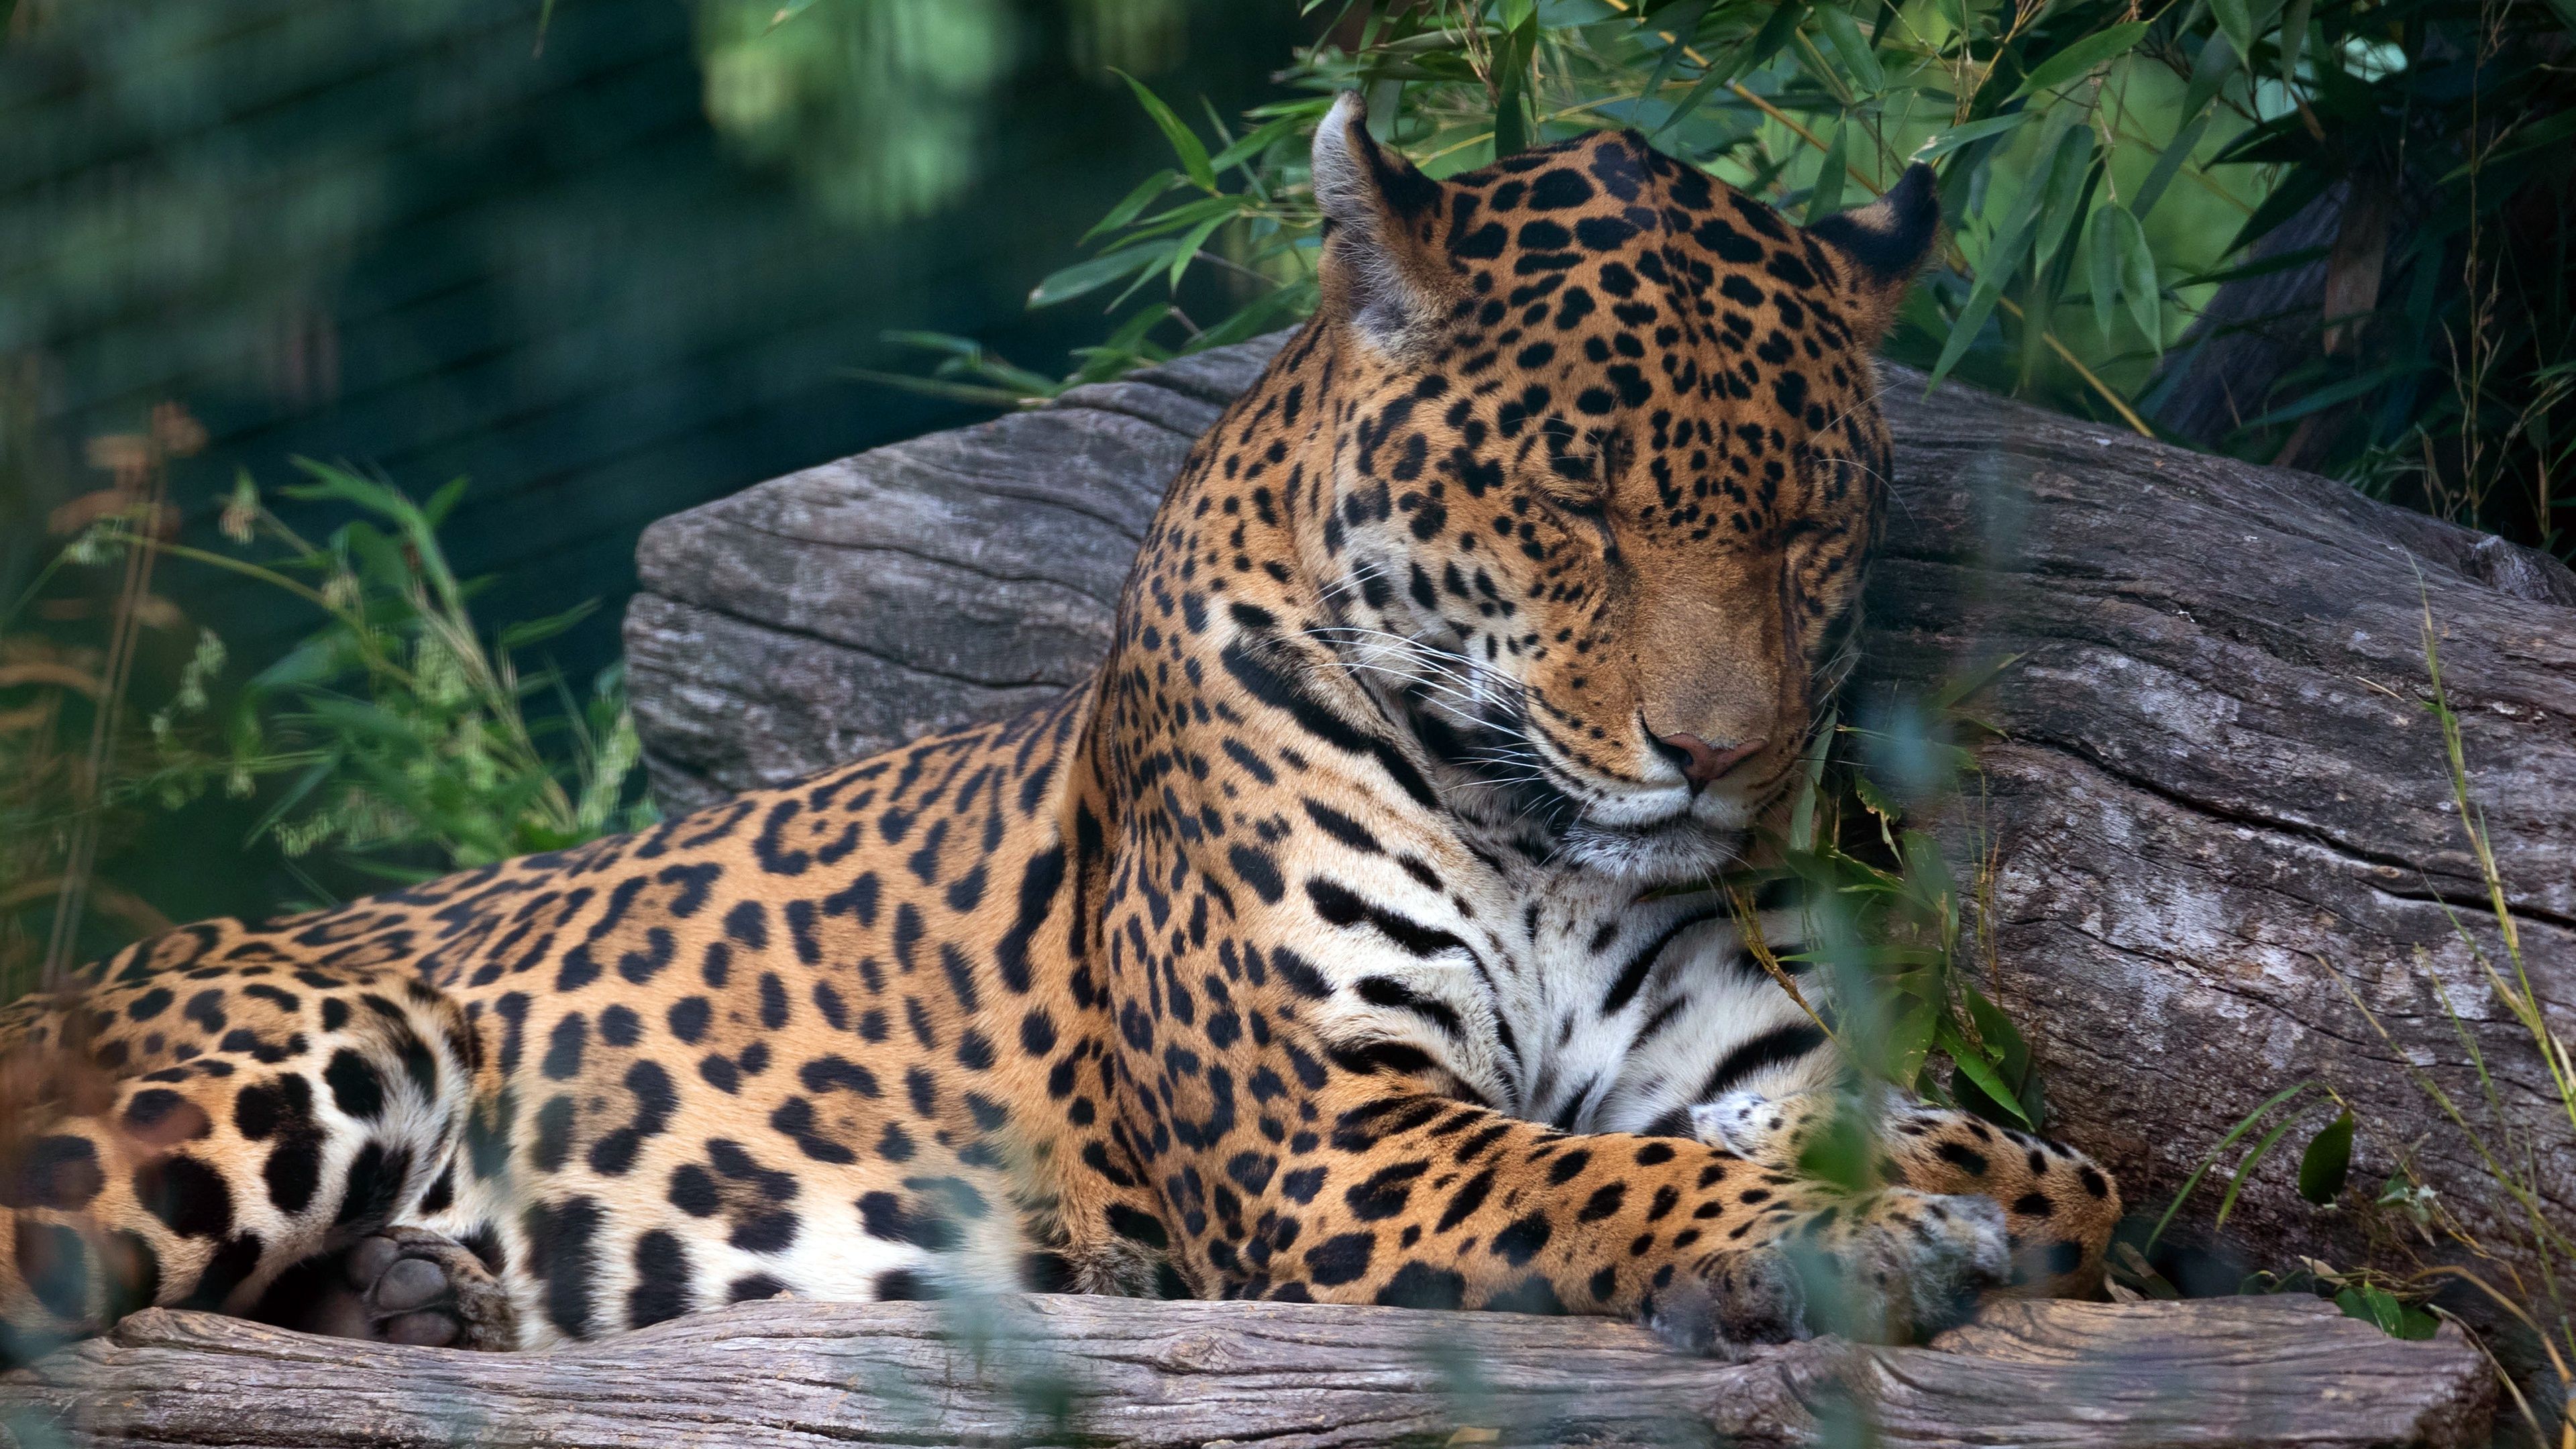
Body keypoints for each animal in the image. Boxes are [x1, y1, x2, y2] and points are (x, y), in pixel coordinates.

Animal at [0, 94, 2121, 1363]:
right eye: (1576, 506)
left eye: (1808, 523)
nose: (1724, 759)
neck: (1538, 842)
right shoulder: (1327, 1135)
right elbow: (1605, 1177)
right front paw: (1868, 1239)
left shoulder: (1746, 1048)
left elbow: (2058, 1175)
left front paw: (1948, 1193)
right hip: (323, 1032)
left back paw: (413, 1295)